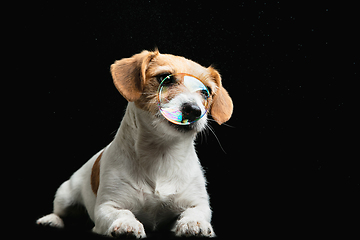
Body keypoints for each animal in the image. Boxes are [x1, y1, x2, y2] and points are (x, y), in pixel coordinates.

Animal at [36, 49, 233, 237]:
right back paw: (51, 220)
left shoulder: (198, 204)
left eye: (206, 92)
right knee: (60, 211)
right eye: (165, 78)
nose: (193, 110)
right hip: (65, 195)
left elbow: (194, 213)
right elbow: (123, 212)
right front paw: (127, 224)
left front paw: (193, 223)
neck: (161, 153)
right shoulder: (107, 206)